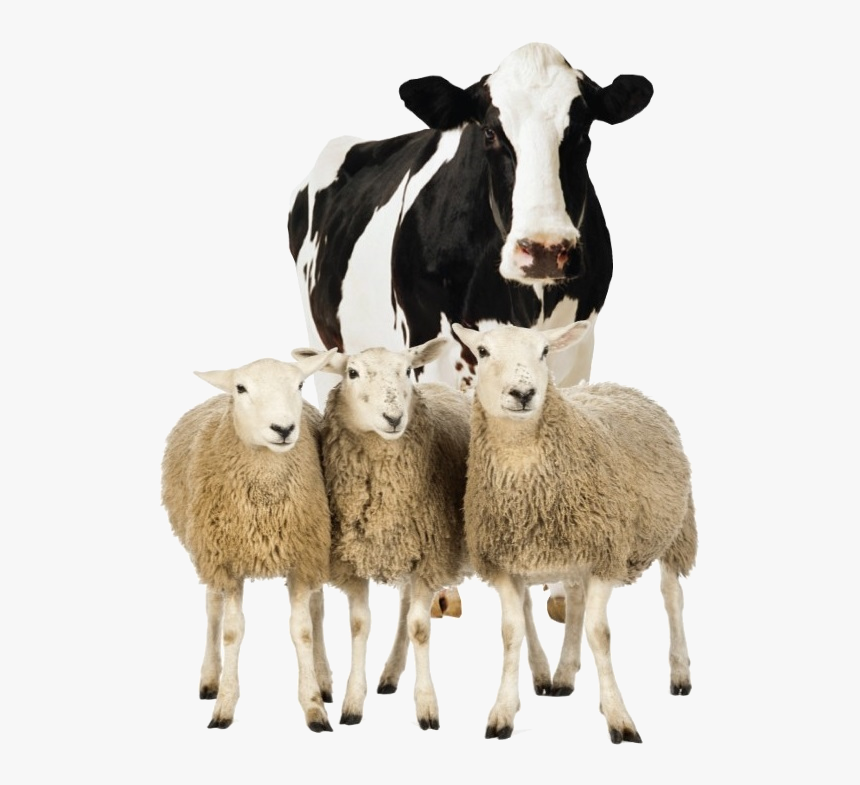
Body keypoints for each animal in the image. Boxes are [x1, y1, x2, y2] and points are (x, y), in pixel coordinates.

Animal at [288, 42, 653, 623]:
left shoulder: (578, 347)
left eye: (582, 130)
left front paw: (560, 584)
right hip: (324, 342)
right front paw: (437, 583)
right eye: (489, 132)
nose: (545, 248)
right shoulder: (433, 349)